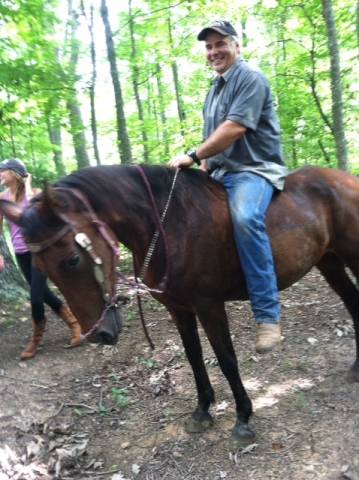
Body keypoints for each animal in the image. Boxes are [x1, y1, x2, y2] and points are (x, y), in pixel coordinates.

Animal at [2, 165, 359, 450]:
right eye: (41, 269)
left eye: (72, 260)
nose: (99, 334)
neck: (169, 224)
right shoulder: (180, 309)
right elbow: (194, 357)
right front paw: (202, 411)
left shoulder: (209, 306)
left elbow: (226, 360)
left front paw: (243, 417)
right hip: (329, 262)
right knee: (353, 304)